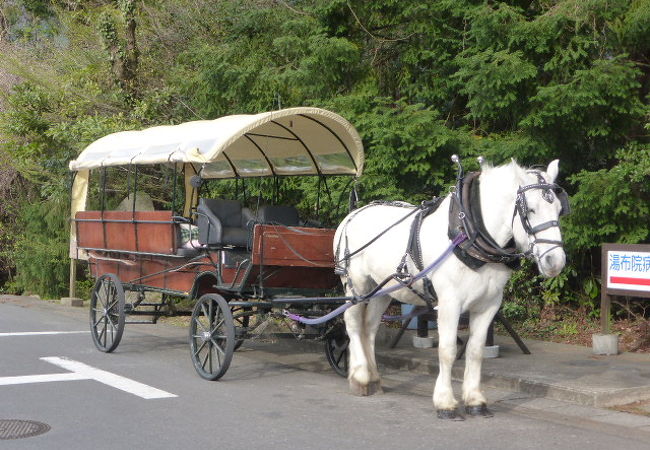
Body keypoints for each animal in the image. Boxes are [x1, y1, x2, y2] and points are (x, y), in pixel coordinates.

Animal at [336, 158, 564, 418]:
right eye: (531, 210)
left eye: (559, 210)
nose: (555, 262)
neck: (470, 235)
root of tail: (354, 213)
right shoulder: (449, 304)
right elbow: (447, 350)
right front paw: (445, 402)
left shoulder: (488, 305)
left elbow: (475, 351)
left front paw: (475, 400)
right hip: (356, 285)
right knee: (353, 323)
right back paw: (361, 377)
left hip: (382, 290)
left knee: (370, 327)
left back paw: (373, 378)